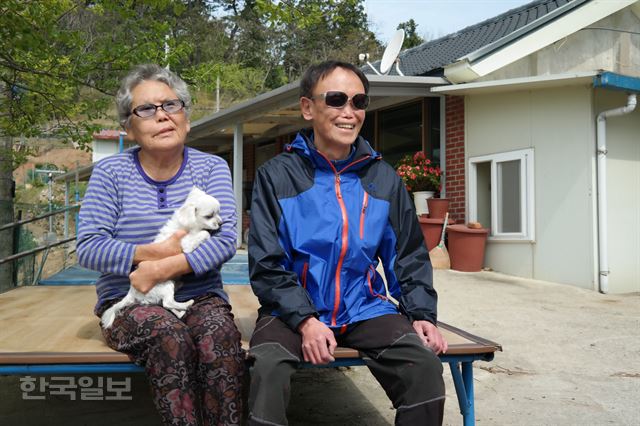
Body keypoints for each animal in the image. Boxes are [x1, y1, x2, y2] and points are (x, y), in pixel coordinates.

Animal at [101, 187, 224, 330]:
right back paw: (186, 304)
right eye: (209, 216)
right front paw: (206, 234)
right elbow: (204, 233)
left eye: (218, 212)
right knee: (167, 303)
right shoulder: (185, 244)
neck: (188, 224)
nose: (221, 223)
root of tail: (132, 292)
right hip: (166, 284)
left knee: (168, 305)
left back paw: (182, 311)